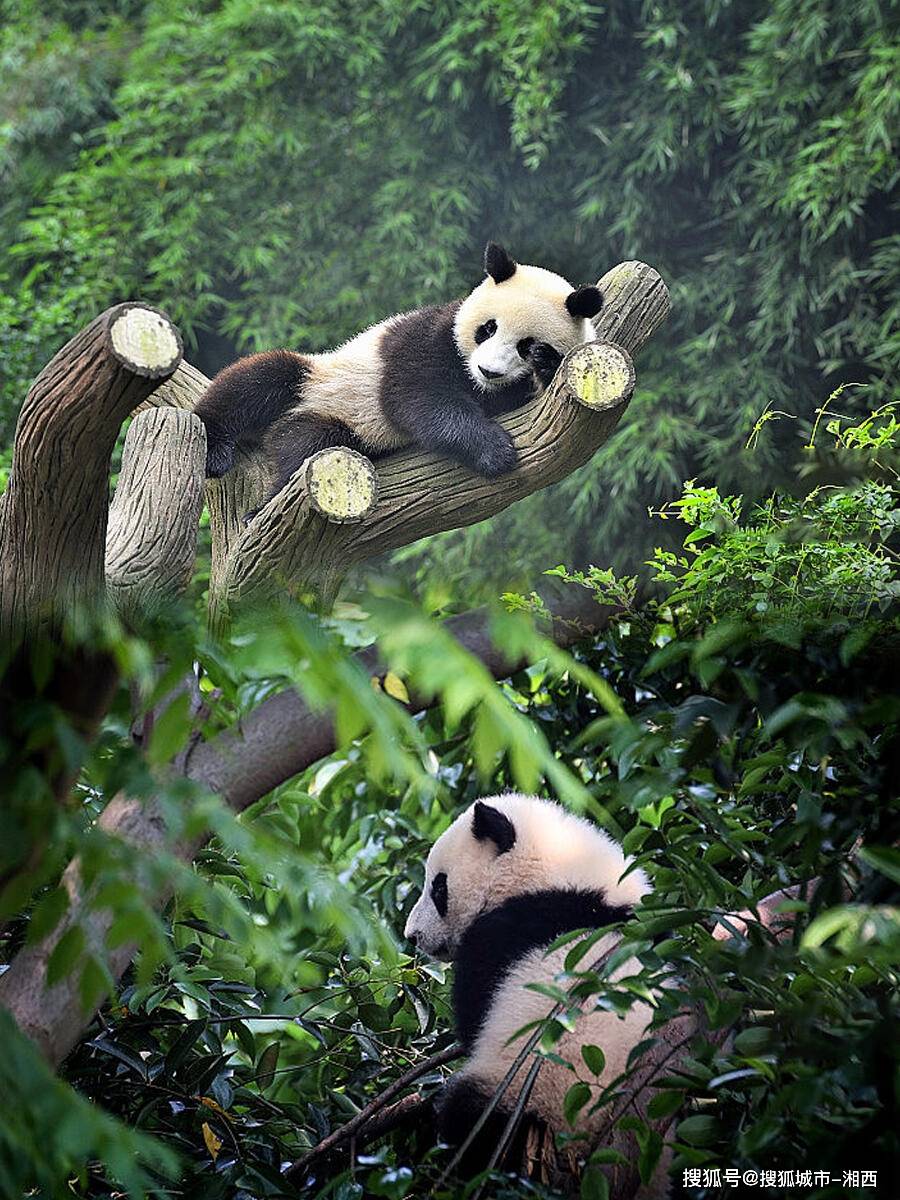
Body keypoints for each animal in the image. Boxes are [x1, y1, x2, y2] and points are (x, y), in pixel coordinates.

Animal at [194, 243, 602, 511]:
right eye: (488, 328)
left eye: (525, 345)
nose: (488, 370)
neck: (475, 383)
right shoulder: (426, 337)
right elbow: (417, 398)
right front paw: (494, 451)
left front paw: (545, 365)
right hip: (319, 380)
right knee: (258, 381)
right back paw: (224, 460)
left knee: (308, 441)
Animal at [405, 796, 657, 1190]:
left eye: (439, 888)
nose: (413, 936)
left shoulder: (502, 935)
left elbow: (473, 1015)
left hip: (527, 1091)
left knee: (470, 1122)